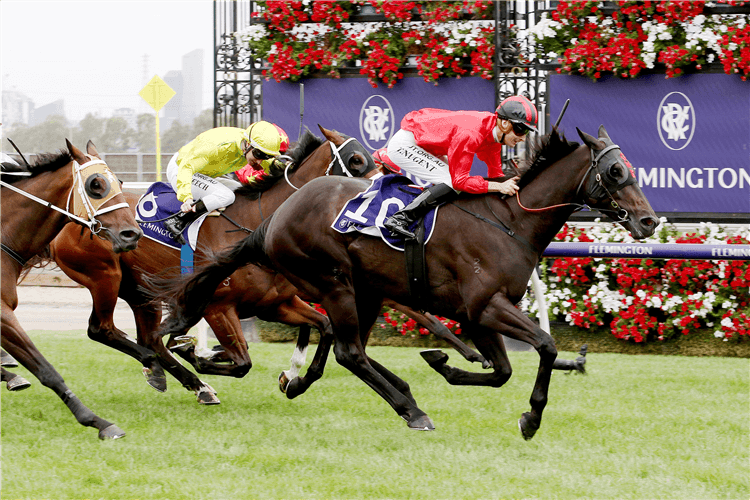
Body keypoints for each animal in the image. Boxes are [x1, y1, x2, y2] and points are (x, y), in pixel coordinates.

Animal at [157, 126, 656, 438]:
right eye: (615, 171)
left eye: (631, 167)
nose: (648, 221)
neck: (509, 221)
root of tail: (274, 218)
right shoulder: (486, 306)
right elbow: (546, 349)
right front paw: (530, 418)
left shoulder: (478, 315)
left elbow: (501, 371)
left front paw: (446, 364)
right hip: (333, 281)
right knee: (349, 350)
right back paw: (412, 411)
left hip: (365, 290)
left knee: (344, 345)